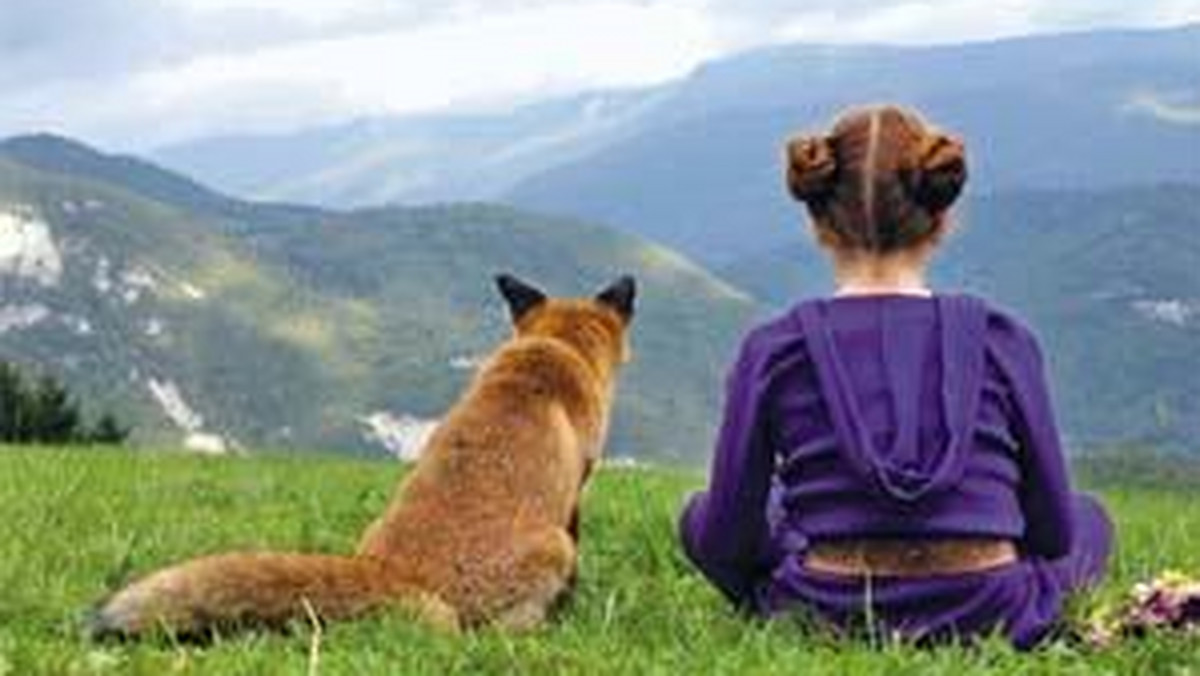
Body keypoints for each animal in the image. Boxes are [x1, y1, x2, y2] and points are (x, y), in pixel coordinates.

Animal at [91, 274, 638, 638]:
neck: (551, 350)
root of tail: (393, 573)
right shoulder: (575, 497)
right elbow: (579, 558)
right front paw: (574, 608)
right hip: (550, 549)